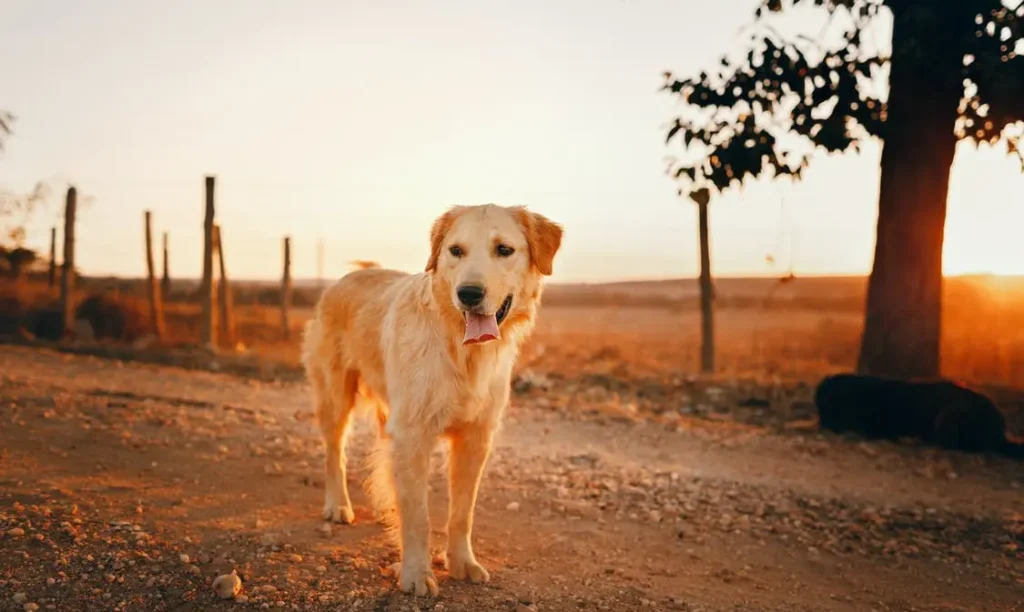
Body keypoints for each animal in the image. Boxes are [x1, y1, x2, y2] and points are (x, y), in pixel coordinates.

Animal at [299, 203, 565, 597]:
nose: (469, 293)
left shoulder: (475, 439)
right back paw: (338, 505)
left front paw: (461, 563)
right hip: (336, 397)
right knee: (336, 453)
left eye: (503, 249)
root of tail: (352, 274)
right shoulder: (413, 435)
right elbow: (419, 515)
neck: (462, 351)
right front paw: (415, 573)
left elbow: (461, 513)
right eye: (455, 251)